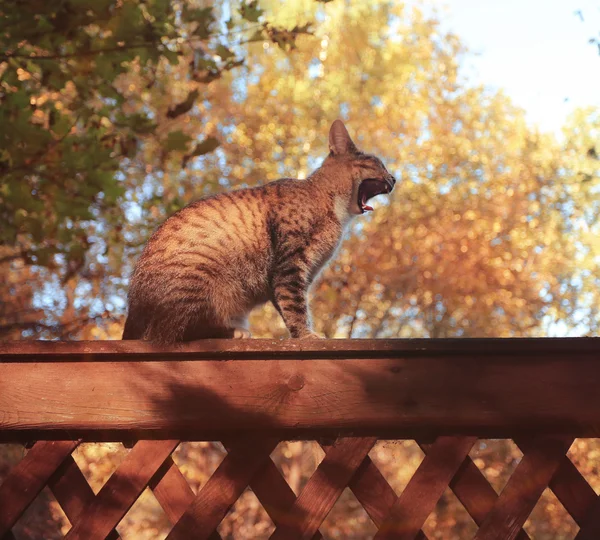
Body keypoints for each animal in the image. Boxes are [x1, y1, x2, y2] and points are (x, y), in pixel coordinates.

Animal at [122, 122, 394, 342]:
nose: (394, 178)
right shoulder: (289, 265)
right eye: (378, 164)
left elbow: (287, 304)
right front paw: (307, 336)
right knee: (180, 330)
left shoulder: (292, 275)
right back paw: (234, 331)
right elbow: (295, 306)